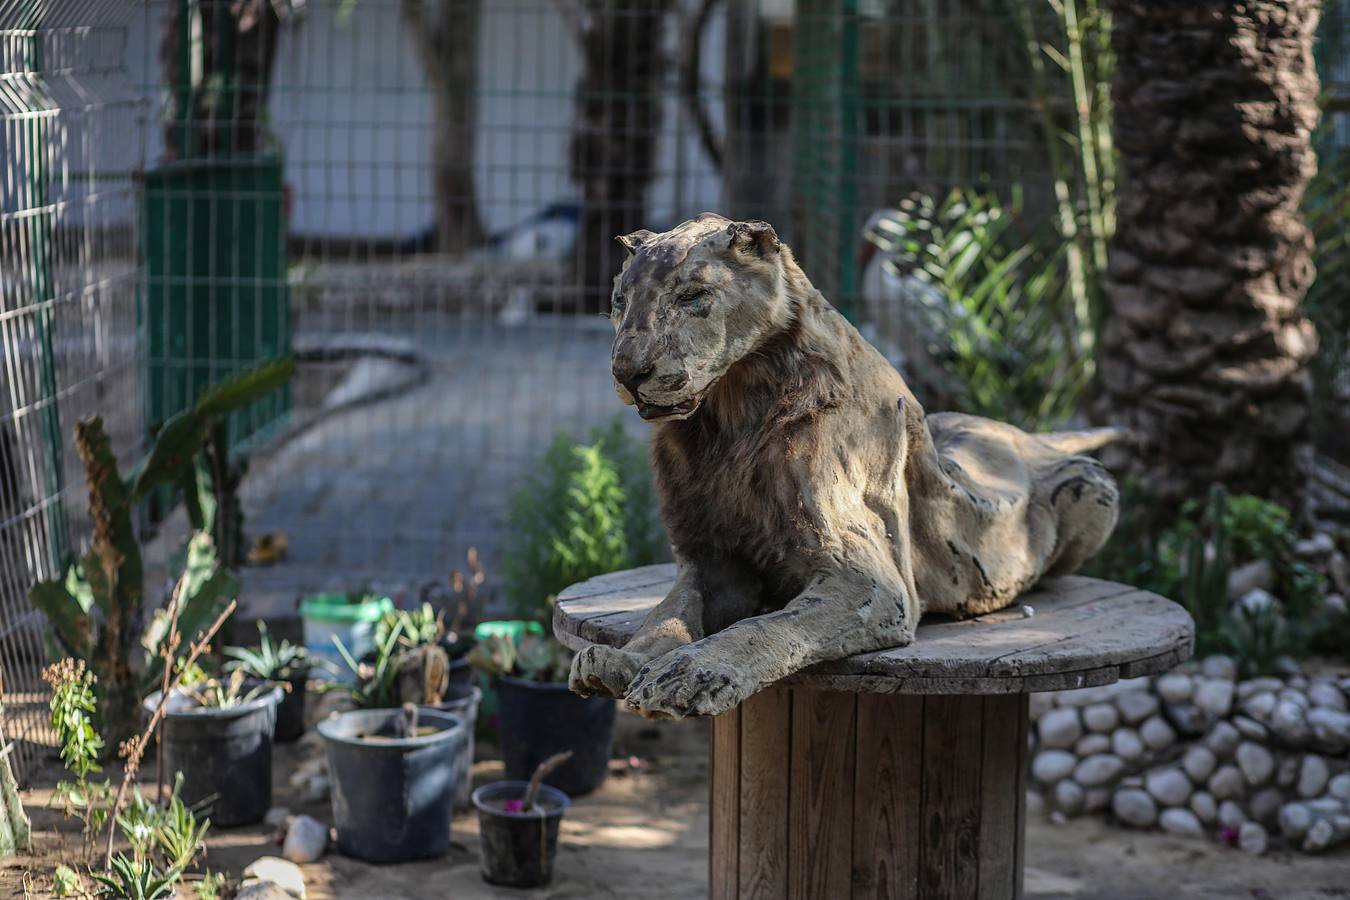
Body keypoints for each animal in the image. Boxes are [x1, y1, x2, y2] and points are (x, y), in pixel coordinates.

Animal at [575, 214, 1123, 723]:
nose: (628, 372)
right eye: (619, 301)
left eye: (692, 296)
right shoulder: (710, 561)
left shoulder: (872, 583)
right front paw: (618, 662)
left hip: (1093, 487)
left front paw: (692, 673)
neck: (729, 415)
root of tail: (1027, 436)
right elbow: (665, 616)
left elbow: (766, 627)